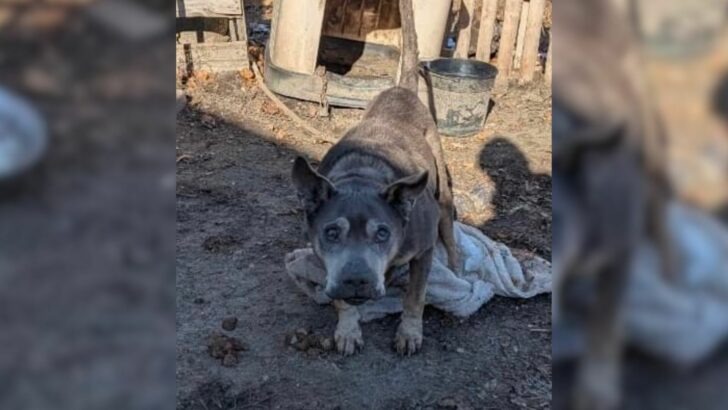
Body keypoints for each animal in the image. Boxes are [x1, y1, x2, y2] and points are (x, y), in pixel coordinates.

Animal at [290, 0, 456, 356]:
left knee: (448, 227)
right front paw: (348, 329)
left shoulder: (423, 251)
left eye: (382, 233)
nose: (357, 280)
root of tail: (402, 88)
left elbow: (415, 296)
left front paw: (409, 332)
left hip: (442, 188)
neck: (362, 178)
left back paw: (456, 264)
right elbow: (340, 301)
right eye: (331, 232)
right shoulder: (326, 262)